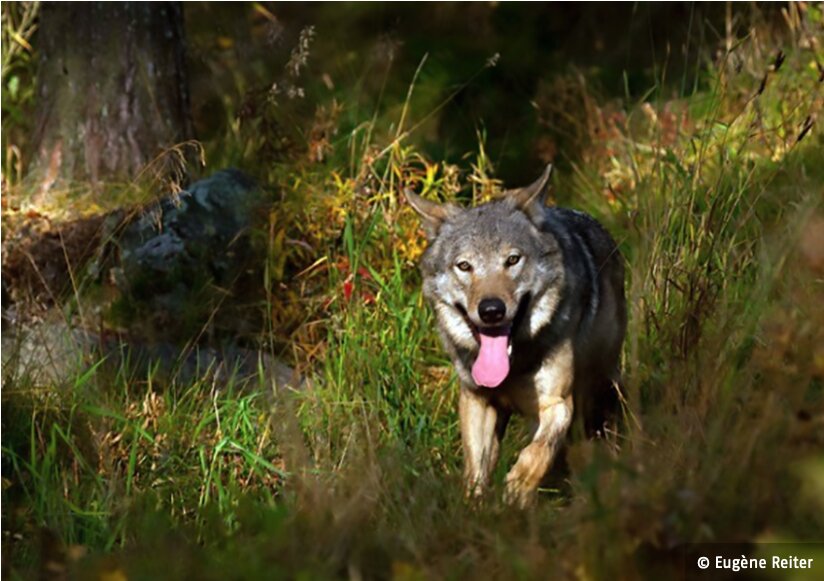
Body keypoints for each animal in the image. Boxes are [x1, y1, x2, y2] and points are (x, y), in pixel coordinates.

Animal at [406, 164, 624, 508]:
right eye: (464, 266)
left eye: (512, 260)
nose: (491, 310)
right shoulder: (477, 400)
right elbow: (476, 470)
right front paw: (475, 507)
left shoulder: (556, 405)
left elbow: (536, 454)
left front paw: (516, 491)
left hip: (598, 390)